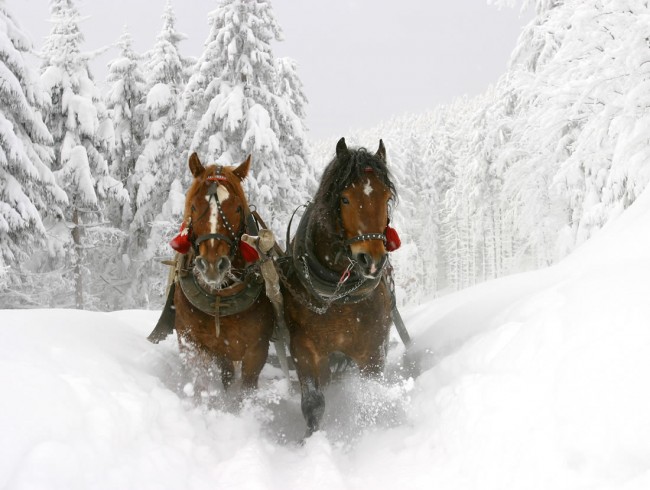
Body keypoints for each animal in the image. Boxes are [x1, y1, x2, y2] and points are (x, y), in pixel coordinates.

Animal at [165, 153, 274, 394]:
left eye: (237, 208)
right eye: (194, 207)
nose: (213, 264)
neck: (219, 298)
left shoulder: (257, 350)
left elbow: (245, 390)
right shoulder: (192, 342)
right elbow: (201, 383)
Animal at [280, 138, 398, 436]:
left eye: (386, 198)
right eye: (345, 198)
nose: (372, 260)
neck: (338, 295)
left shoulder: (372, 351)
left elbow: (370, 398)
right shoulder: (305, 349)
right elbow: (313, 404)